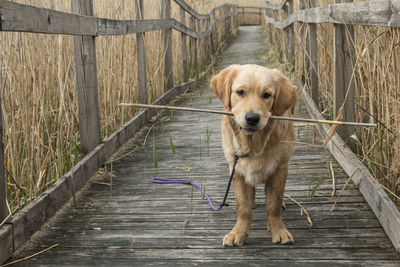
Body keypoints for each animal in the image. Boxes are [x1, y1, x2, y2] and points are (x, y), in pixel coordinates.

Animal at [209, 64, 296, 247]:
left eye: (267, 95)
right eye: (240, 92)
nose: (252, 118)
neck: (253, 143)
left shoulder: (280, 168)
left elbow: (274, 203)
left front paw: (278, 230)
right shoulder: (237, 170)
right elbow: (243, 207)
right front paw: (238, 233)